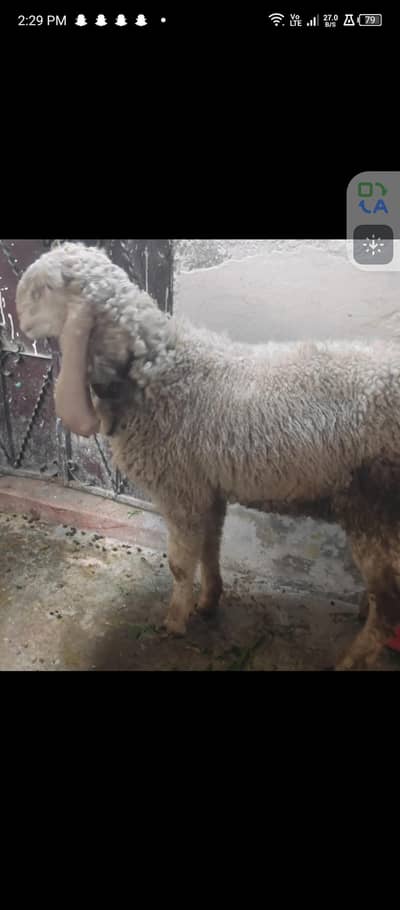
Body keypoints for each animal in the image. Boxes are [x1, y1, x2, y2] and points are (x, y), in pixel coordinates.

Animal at [15, 241, 400, 670]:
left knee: (389, 607)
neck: (157, 368)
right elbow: (210, 549)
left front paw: (175, 622)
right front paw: (208, 601)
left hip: (374, 509)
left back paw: (352, 659)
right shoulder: (206, 489)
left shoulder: (180, 489)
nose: (20, 322)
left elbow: (180, 564)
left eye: (42, 290)